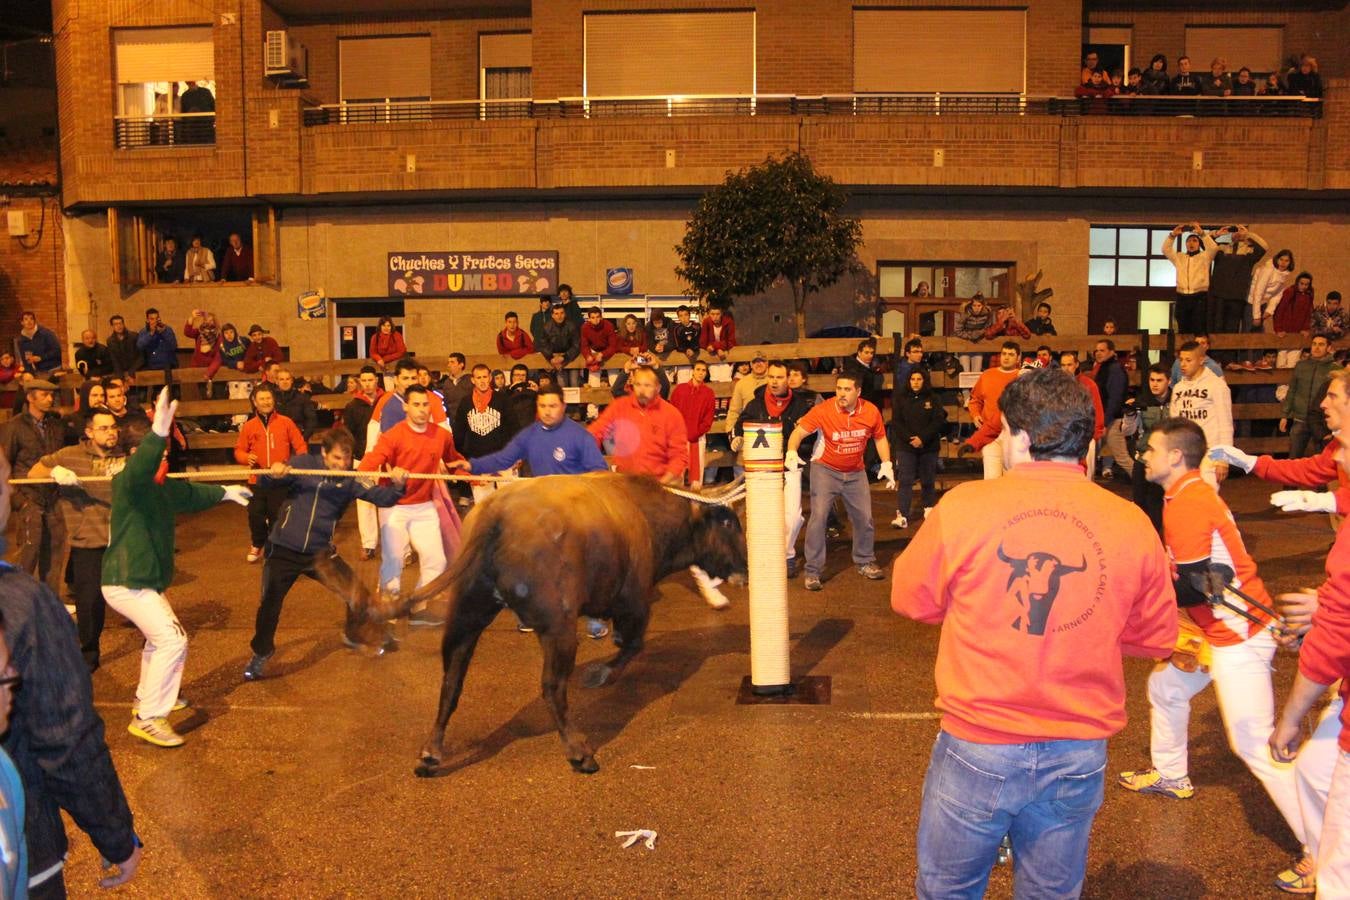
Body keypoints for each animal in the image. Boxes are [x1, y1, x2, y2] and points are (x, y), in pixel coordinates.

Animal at [394, 474, 750, 777]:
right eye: (728, 521)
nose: (745, 568)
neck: (643, 512)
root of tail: (495, 514)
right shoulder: (633, 600)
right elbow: (633, 643)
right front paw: (600, 674)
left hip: (466, 615)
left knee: (451, 681)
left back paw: (430, 754)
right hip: (558, 628)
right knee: (552, 686)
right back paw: (580, 752)